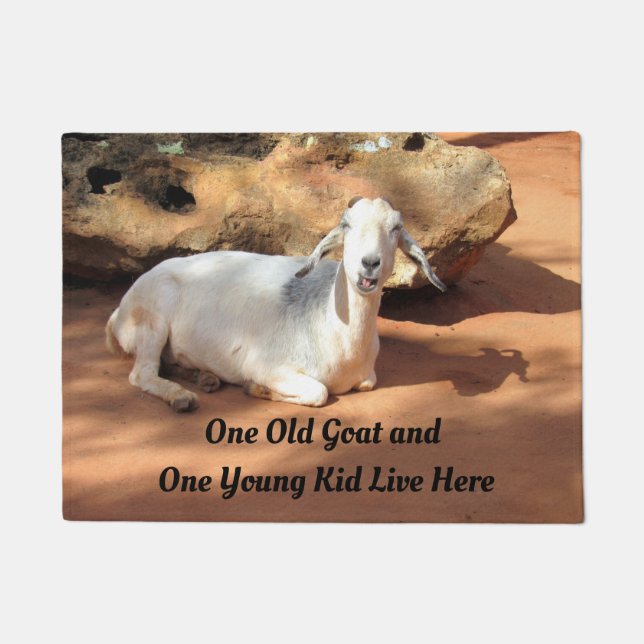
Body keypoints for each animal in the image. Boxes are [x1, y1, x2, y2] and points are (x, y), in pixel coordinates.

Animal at [105, 197, 446, 411]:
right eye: (346, 225)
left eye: (396, 229)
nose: (370, 264)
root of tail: (117, 316)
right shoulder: (266, 364)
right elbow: (319, 391)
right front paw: (255, 388)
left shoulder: (367, 379)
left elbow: (362, 384)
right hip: (151, 321)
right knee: (142, 374)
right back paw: (182, 397)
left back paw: (204, 377)